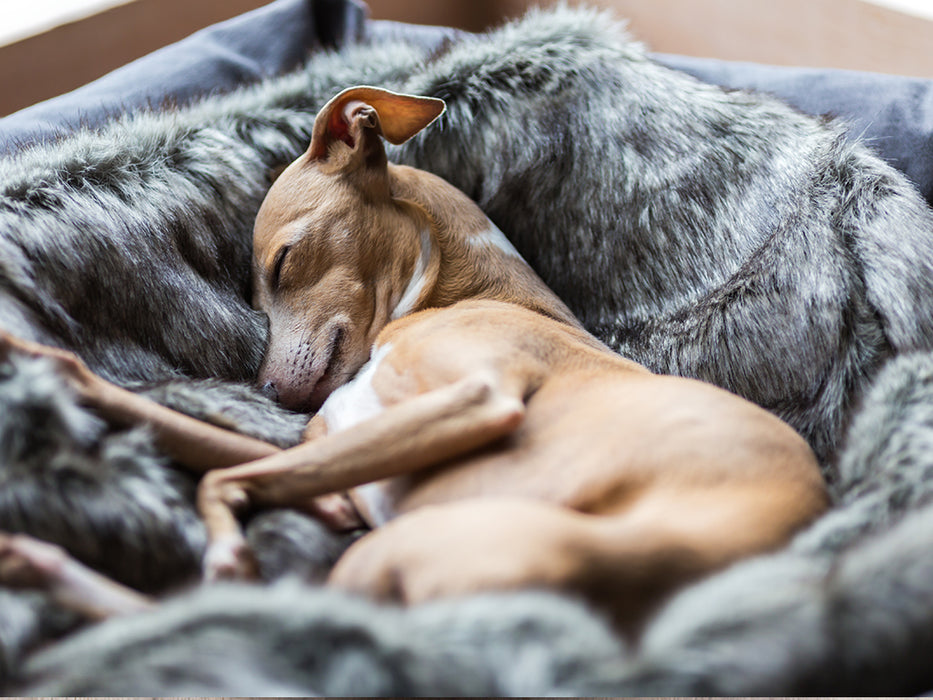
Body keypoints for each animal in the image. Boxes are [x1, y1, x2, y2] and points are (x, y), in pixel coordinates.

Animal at [0, 87, 832, 636]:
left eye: (282, 261)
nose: (267, 389)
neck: (457, 295)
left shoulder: (476, 398)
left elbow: (222, 477)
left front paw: (237, 541)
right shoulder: (333, 448)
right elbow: (198, 439)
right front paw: (52, 368)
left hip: (400, 551)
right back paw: (34, 562)